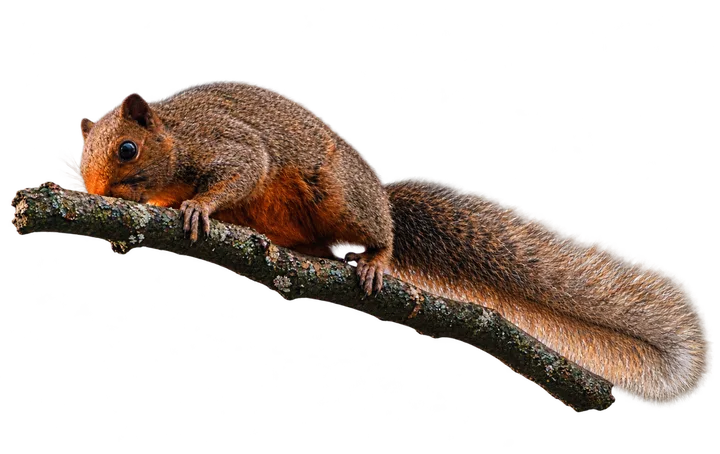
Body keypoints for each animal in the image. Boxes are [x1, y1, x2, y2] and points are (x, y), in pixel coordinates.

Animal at [77, 80, 713, 409]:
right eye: (77, 164)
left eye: (128, 149)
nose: (97, 193)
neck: (174, 138)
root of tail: (381, 196)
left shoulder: (228, 144)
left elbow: (241, 170)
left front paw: (198, 208)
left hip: (342, 196)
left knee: (375, 234)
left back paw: (376, 259)